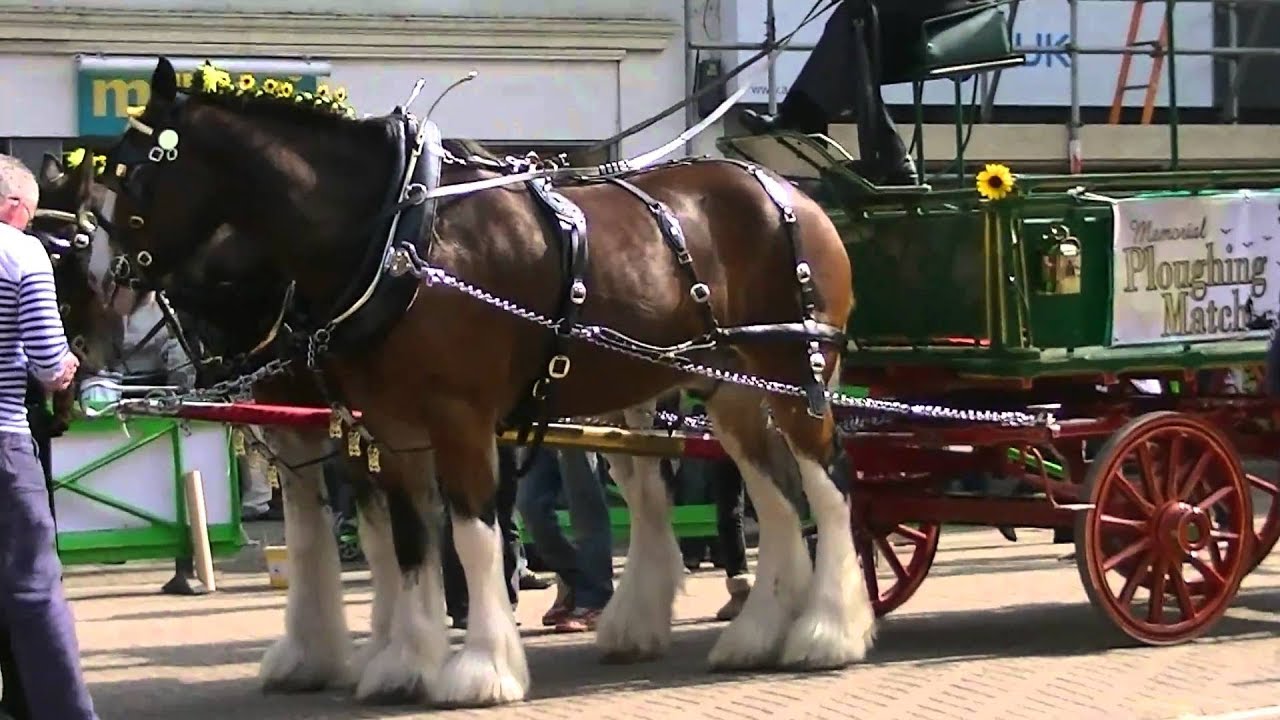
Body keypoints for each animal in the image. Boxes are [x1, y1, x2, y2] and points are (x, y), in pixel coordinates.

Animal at [33, 152, 448, 702]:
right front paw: (337, 654)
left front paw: (399, 654)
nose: (72, 376)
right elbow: (342, 534)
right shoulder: (323, 423)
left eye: (66, 254)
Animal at [99, 56, 866, 707]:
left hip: (796, 377)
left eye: (135, 177)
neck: (399, 238)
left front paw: (480, 669)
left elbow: (470, 538)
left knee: (827, 486)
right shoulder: (385, 428)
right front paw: (400, 664)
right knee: (770, 496)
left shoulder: (458, 419)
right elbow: (406, 542)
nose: (108, 297)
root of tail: (790, 191)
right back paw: (757, 632)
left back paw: (829, 631)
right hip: (729, 390)